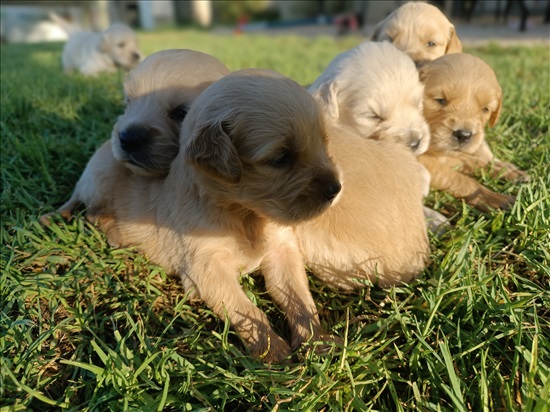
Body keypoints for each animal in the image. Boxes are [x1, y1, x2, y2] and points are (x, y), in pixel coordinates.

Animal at [44, 69, 344, 362]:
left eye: (324, 143)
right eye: (280, 158)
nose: (335, 189)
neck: (246, 215)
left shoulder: (283, 251)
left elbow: (300, 297)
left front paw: (318, 342)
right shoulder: (204, 269)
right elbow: (245, 308)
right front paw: (272, 351)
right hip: (103, 176)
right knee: (90, 212)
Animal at [420, 52, 532, 211]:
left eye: (485, 109)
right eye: (440, 100)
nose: (463, 135)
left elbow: (471, 161)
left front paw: (508, 172)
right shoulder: (425, 163)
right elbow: (459, 179)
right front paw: (497, 198)